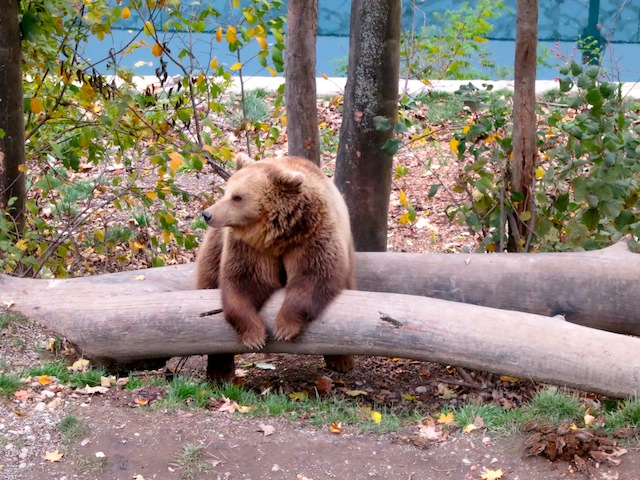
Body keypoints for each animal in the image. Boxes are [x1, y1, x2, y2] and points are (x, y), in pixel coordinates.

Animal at [195, 152, 356, 380]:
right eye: (226, 192)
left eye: (237, 197)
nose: (207, 214)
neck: (278, 235)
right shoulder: (249, 247)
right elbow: (243, 281)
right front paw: (256, 336)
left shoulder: (312, 233)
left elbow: (315, 274)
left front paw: (284, 327)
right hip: (214, 249)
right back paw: (219, 370)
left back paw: (341, 360)